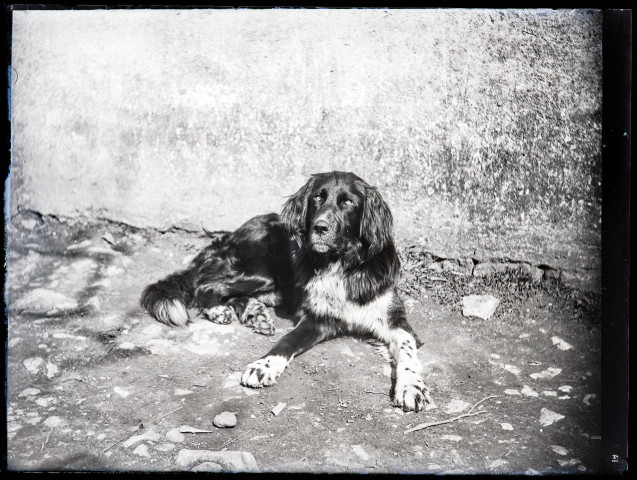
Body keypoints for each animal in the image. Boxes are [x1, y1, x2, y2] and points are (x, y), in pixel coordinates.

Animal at [141, 172, 432, 412]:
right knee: (206, 284)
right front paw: (263, 366)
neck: (342, 265)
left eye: (348, 202)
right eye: (317, 197)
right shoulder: (316, 318)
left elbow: (407, 353)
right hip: (261, 271)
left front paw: (411, 387)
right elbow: (286, 341)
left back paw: (254, 314)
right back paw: (220, 310)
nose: (319, 227)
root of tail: (232, 234)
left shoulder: (396, 320)